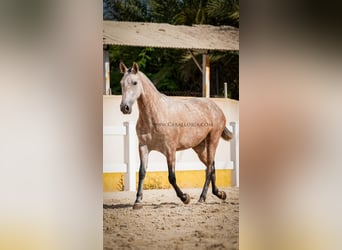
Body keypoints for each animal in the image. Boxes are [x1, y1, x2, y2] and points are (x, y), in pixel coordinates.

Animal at [118, 62, 232, 209]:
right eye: (121, 83)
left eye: (135, 82)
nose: (124, 108)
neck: (155, 115)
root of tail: (217, 108)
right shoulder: (143, 147)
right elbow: (142, 173)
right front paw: (137, 201)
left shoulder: (170, 150)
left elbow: (171, 177)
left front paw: (185, 198)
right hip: (199, 147)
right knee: (210, 166)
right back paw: (219, 193)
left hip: (213, 140)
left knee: (209, 168)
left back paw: (202, 197)